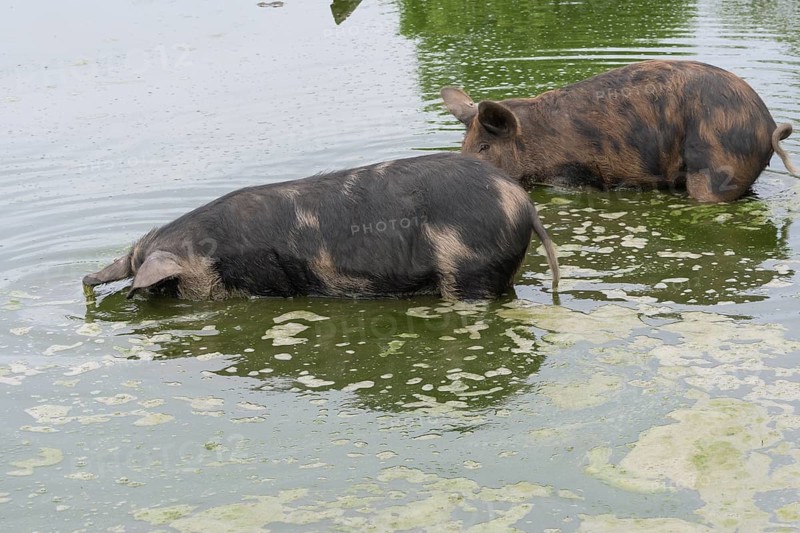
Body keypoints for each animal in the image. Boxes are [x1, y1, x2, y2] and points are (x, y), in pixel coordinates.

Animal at [441, 60, 797, 203]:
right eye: (464, 144)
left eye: (485, 148)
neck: (534, 139)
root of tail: (766, 126)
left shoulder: (573, 174)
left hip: (715, 163)